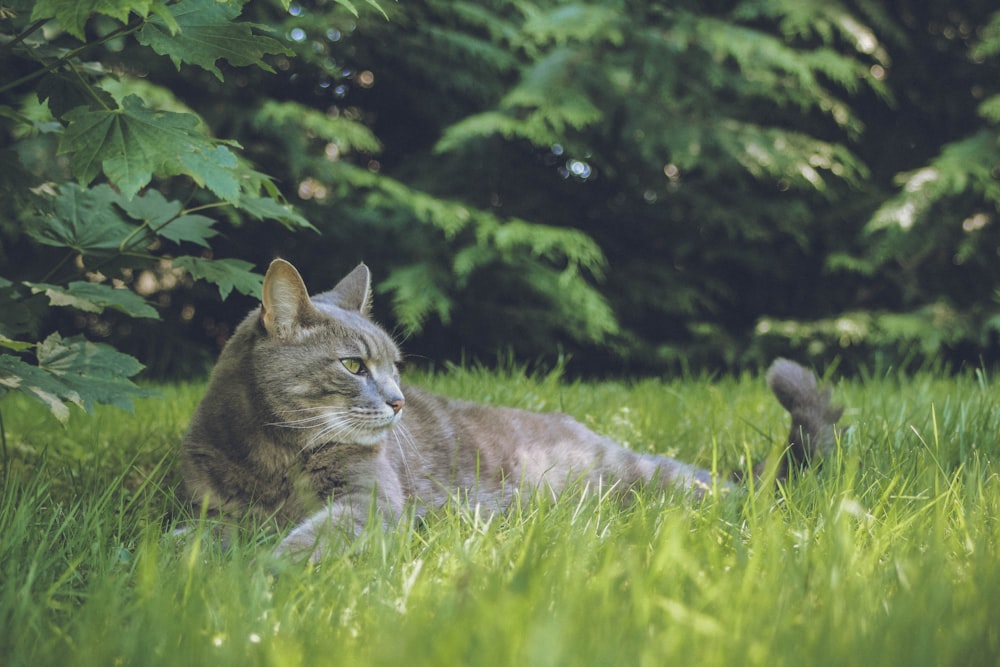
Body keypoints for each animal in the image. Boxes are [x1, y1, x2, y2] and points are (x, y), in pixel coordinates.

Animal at [182, 258, 844, 560]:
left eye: (396, 366)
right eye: (353, 366)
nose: (398, 401)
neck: (275, 456)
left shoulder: (370, 502)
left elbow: (313, 537)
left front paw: (267, 570)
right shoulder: (213, 505)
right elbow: (198, 533)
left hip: (650, 479)